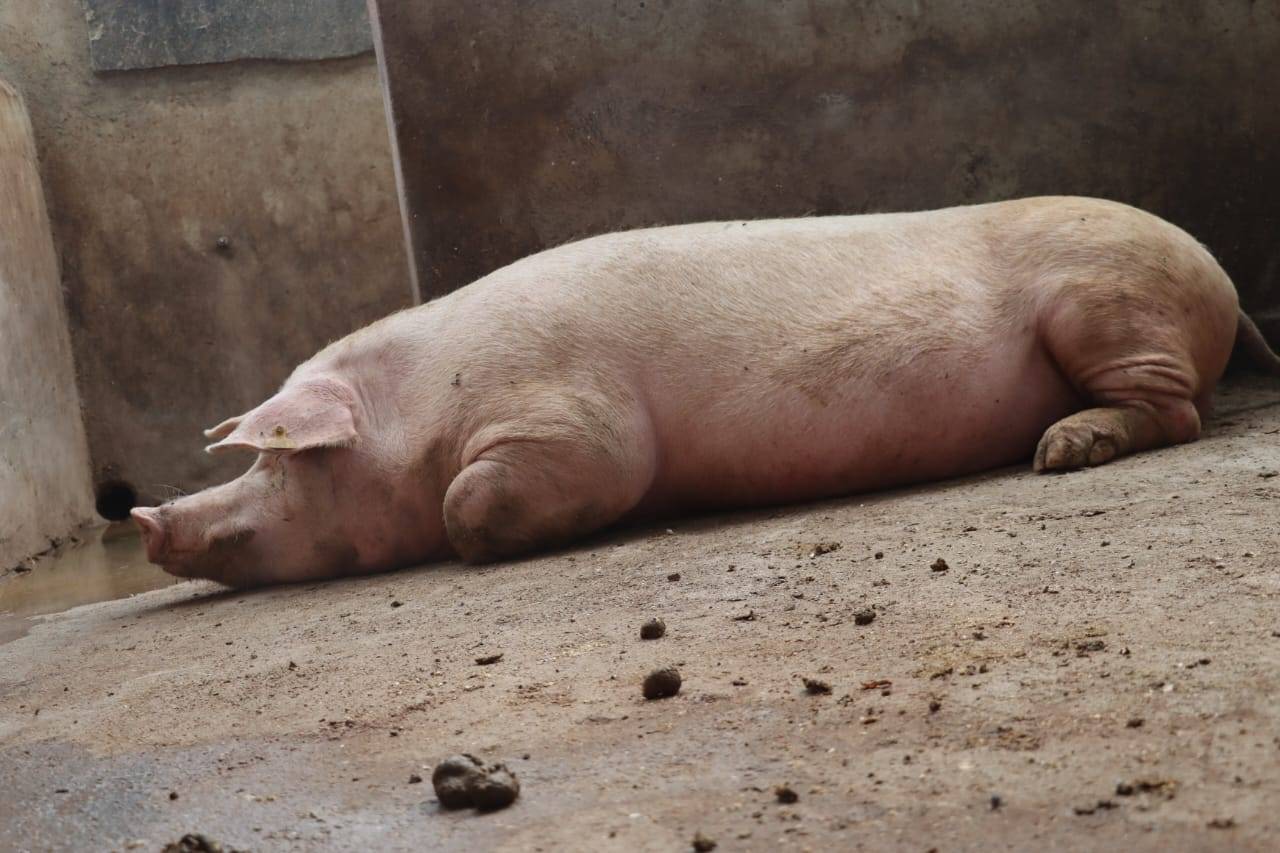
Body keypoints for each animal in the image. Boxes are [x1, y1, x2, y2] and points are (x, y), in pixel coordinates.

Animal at [131, 196, 1279, 586]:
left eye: (281, 464)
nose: (146, 517)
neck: (416, 408)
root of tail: (1218, 272)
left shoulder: (569, 422)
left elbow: (480, 498)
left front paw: (465, 538)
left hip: (1108, 303)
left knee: (1180, 411)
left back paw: (1058, 451)